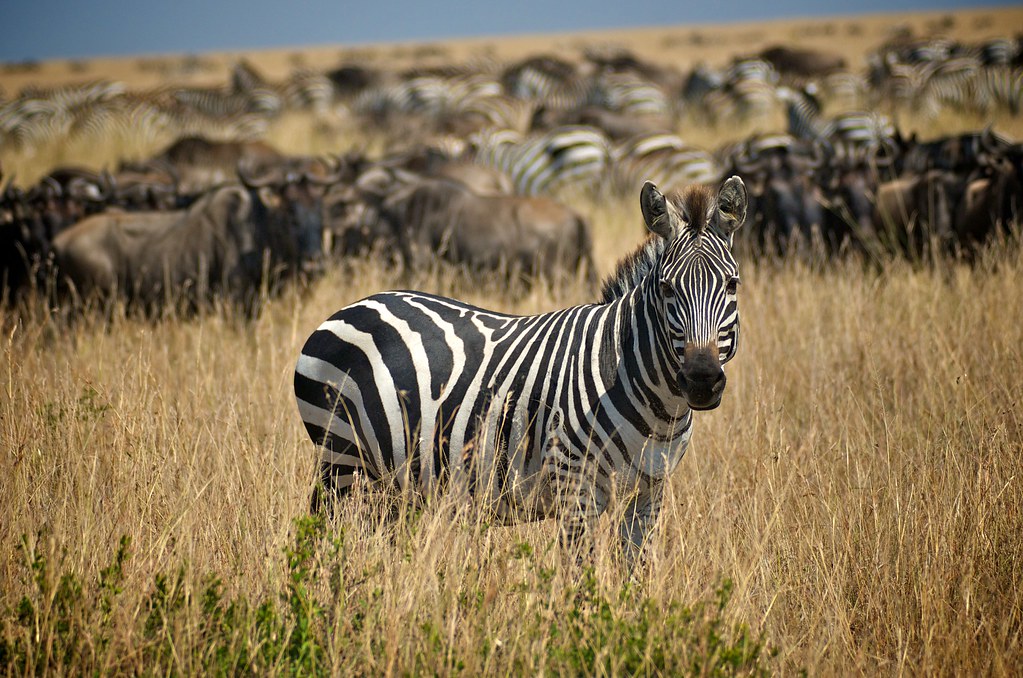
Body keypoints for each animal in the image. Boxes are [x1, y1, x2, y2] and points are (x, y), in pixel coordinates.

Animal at [294, 175, 747, 557]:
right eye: (667, 288)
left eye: (732, 284)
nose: (701, 381)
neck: (657, 407)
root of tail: (350, 307)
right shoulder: (573, 483)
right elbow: (580, 580)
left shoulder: (649, 492)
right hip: (342, 460)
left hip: (388, 479)